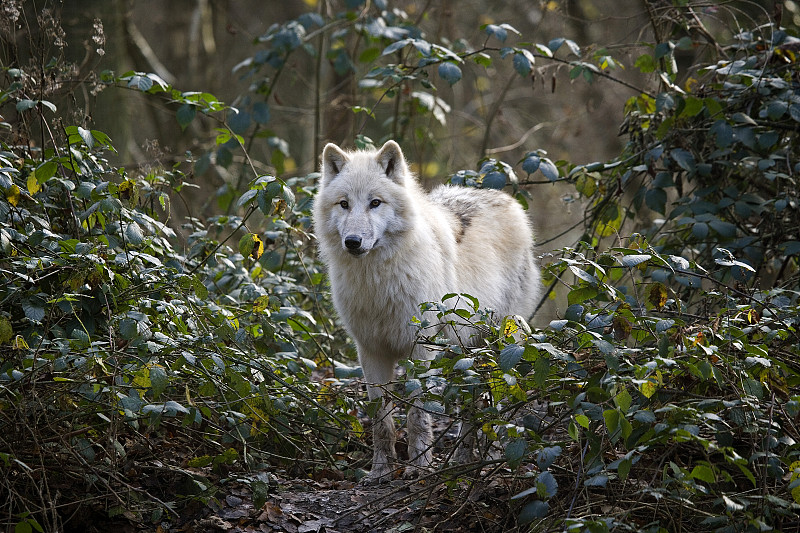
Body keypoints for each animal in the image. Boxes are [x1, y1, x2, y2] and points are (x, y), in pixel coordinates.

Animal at [312, 140, 544, 482]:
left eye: (375, 203)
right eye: (344, 204)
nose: (352, 242)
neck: (377, 280)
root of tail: (504, 198)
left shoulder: (420, 350)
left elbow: (417, 416)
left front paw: (418, 467)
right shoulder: (370, 352)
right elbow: (382, 421)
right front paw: (380, 471)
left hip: (497, 345)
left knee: (495, 401)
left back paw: (491, 458)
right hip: (464, 355)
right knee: (471, 404)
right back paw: (463, 459)